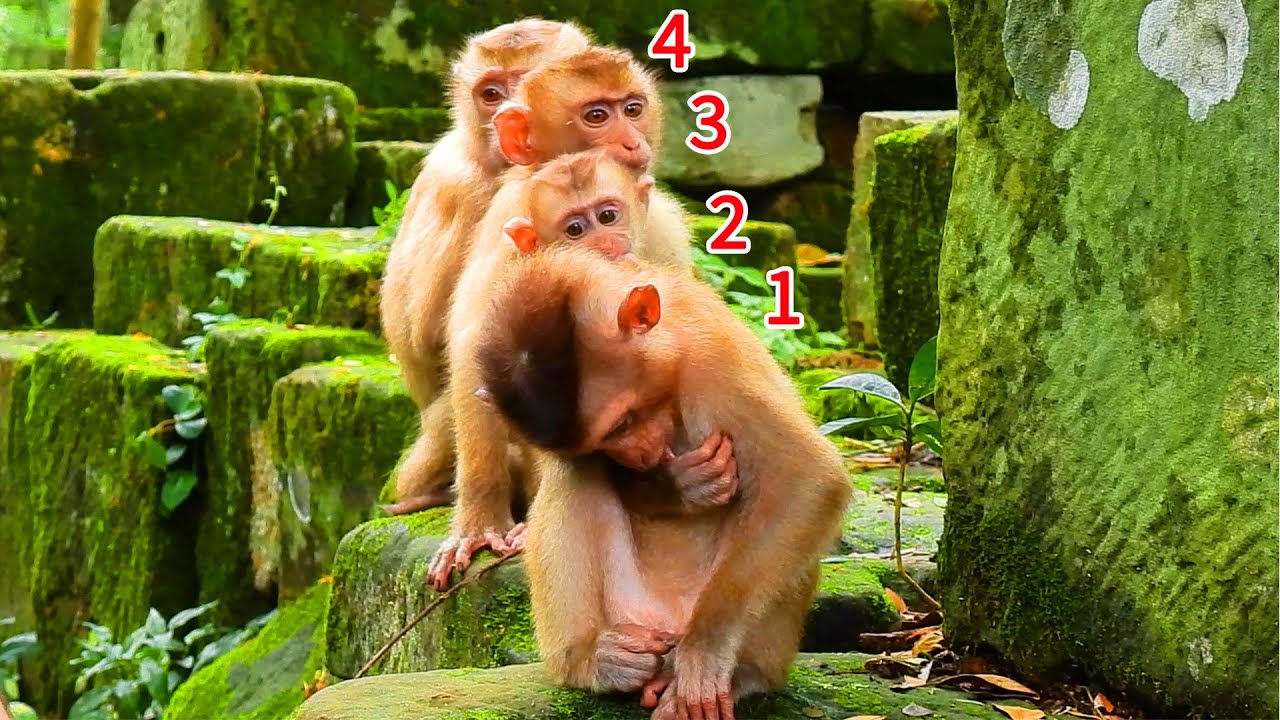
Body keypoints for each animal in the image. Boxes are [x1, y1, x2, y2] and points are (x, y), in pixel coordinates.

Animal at [423, 148, 717, 590]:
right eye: (575, 229)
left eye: (609, 216)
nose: (604, 245)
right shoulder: (511, 264)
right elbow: (480, 359)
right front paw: (479, 525)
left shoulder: (663, 238)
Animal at [472, 244, 853, 720]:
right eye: (603, 440)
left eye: (622, 423)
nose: (636, 455)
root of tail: (666, 619)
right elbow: (582, 467)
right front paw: (677, 487)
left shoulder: (712, 363)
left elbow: (806, 478)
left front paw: (702, 654)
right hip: (629, 615)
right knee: (575, 478)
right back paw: (589, 659)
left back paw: (743, 673)